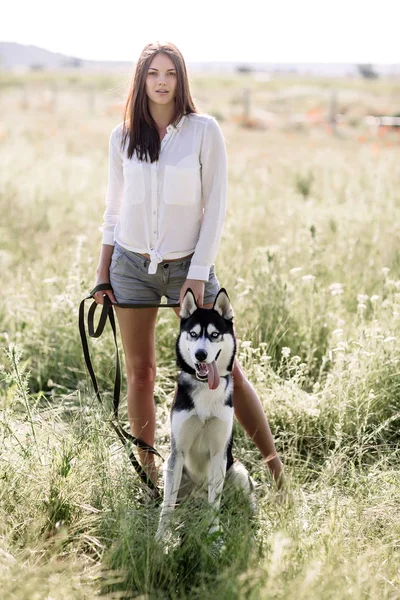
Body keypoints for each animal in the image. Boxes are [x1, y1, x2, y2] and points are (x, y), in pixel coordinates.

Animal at [156, 288, 253, 540]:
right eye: (193, 334)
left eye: (214, 334)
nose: (200, 354)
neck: (205, 390)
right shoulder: (177, 452)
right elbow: (167, 506)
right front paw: (160, 538)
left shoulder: (219, 454)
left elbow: (214, 502)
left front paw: (214, 534)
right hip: (169, 468)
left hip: (238, 470)